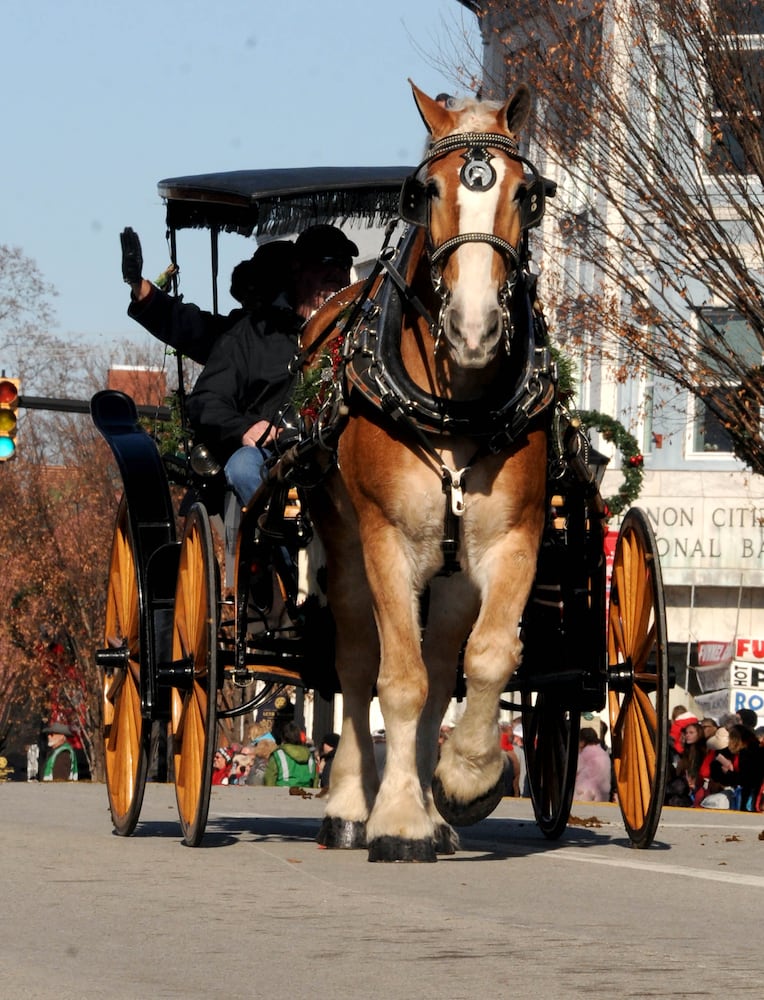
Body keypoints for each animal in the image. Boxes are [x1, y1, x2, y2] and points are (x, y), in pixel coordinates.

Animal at [298, 82, 556, 860]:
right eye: (425, 193)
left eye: (526, 193)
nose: (475, 328)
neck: (457, 405)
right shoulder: (386, 540)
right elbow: (398, 681)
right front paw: (398, 819)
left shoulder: (512, 539)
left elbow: (488, 656)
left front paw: (466, 780)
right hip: (345, 547)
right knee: (356, 665)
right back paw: (350, 806)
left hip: (450, 578)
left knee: (445, 667)